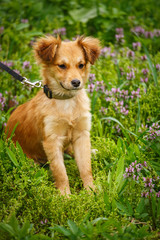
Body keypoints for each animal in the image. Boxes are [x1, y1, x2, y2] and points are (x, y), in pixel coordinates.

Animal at [5, 36, 100, 196]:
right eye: (61, 66)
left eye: (81, 65)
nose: (76, 82)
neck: (66, 101)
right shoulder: (52, 139)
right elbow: (60, 171)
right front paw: (65, 196)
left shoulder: (81, 134)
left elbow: (86, 168)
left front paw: (91, 191)